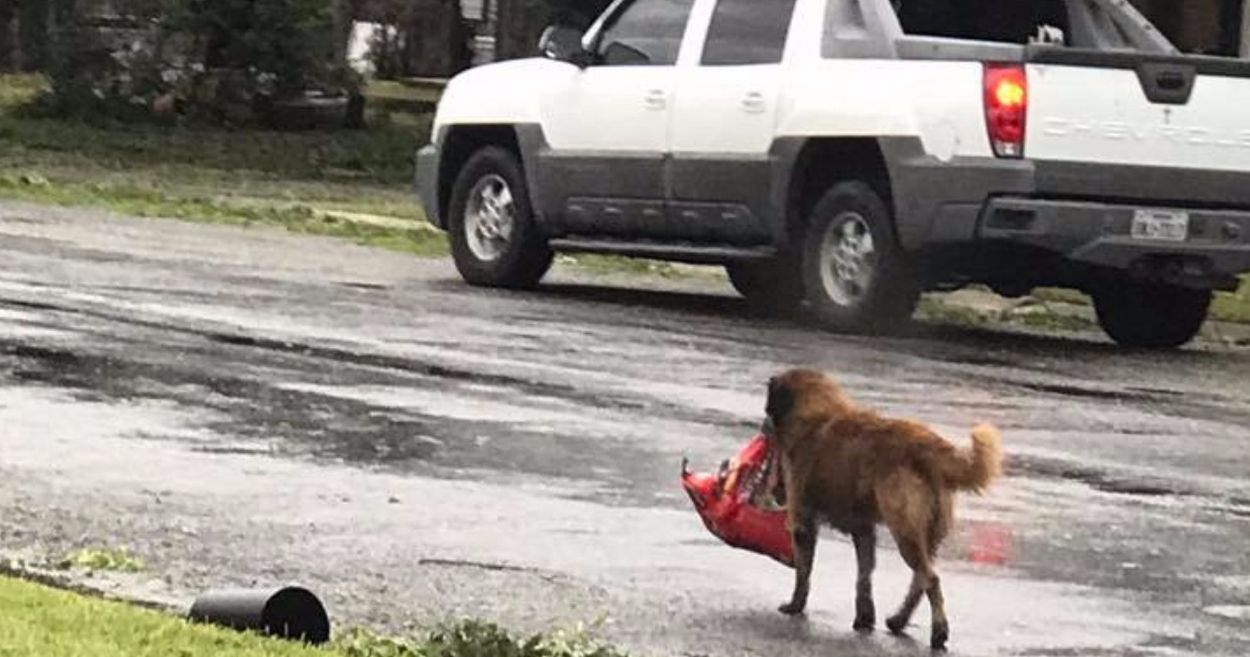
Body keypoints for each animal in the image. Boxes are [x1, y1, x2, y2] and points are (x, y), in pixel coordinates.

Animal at [755, 367, 1000, 649]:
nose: (763, 425)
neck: (816, 411)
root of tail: (926, 445)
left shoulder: (803, 522)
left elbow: (804, 572)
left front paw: (795, 606)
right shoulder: (863, 530)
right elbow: (864, 576)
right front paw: (864, 618)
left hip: (905, 530)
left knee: (931, 579)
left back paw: (938, 632)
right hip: (927, 534)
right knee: (920, 580)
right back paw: (898, 620)